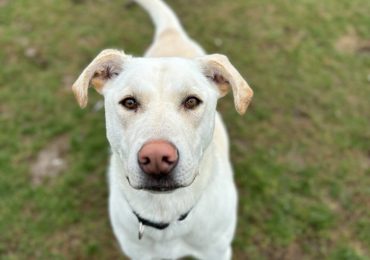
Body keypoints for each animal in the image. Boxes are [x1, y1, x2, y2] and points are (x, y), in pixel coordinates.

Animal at [71, 0, 251, 258]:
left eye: (192, 101)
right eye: (129, 102)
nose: (156, 157)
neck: (165, 212)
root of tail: (170, 33)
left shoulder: (217, 251)